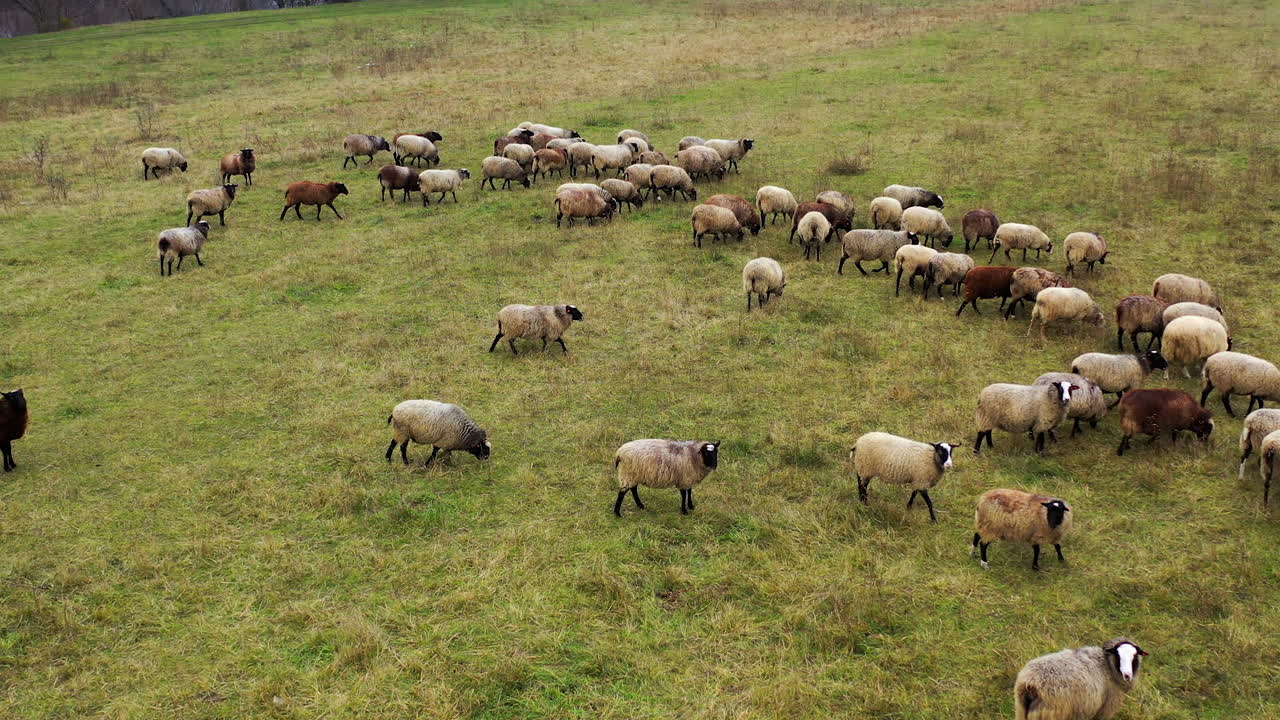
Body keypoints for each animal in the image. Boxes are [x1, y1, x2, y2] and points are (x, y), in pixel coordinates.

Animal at [1014, 639, 1148, 720]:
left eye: (1135, 656)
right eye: (1118, 655)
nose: (1127, 675)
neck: (1107, 665)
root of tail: (1030, 685)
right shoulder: (1104, 710)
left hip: (1021, 711)